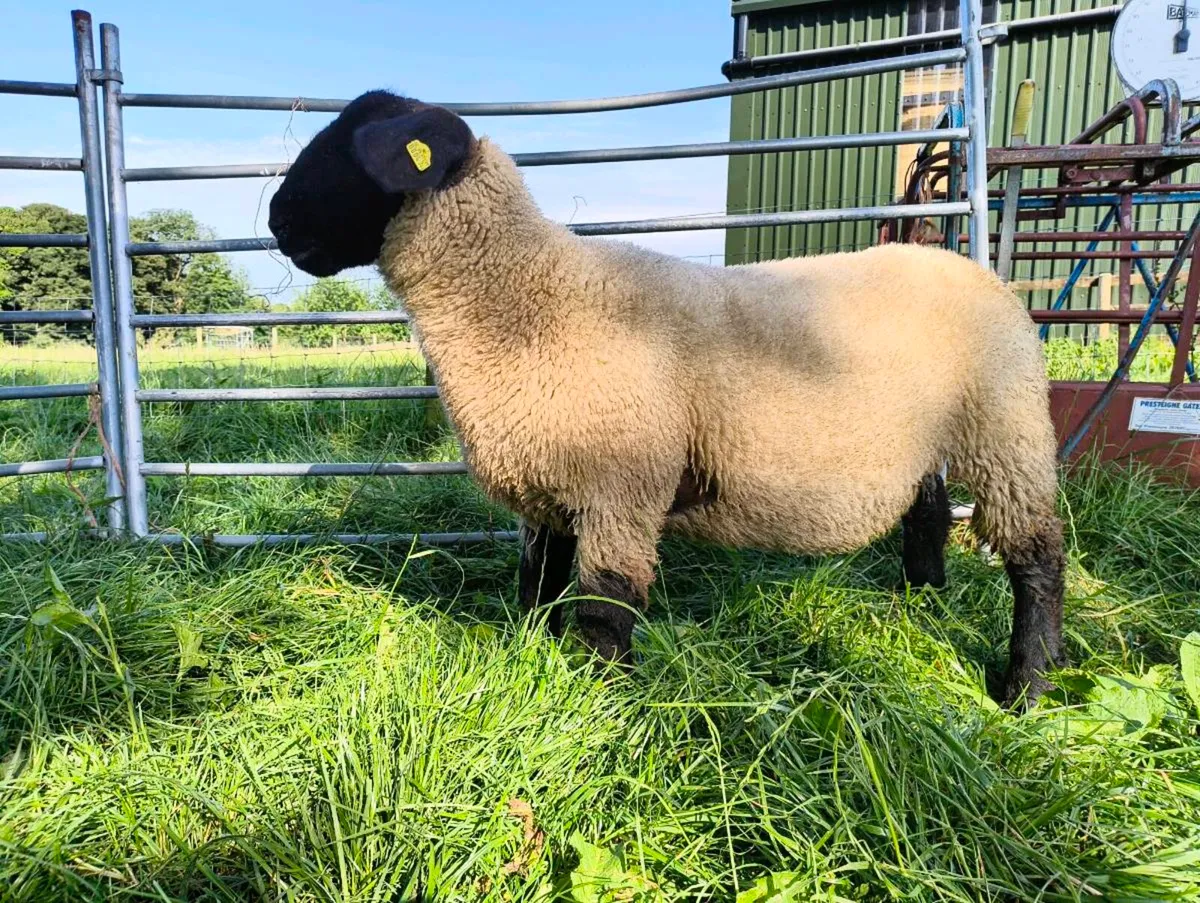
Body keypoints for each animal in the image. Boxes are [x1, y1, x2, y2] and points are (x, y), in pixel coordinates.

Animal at [267, 90, 1066, 707]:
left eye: (352, 145)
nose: (276, 221)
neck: (530, 297)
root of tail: (972, 268)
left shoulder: (621, 485)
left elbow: (603, 607)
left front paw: (603, 707)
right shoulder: (550, 487)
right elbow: (537, 587)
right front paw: (529, 668)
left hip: (1007, 428)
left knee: (1037, 557)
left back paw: (1027, 686)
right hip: (937, 437)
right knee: (926, 514)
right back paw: (921, 607)